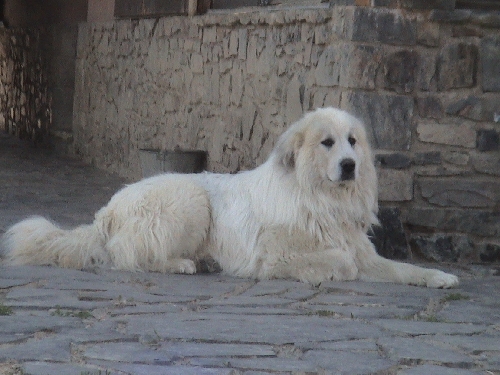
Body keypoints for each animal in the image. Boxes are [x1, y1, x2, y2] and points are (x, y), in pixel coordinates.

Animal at [1, 107, 458, 290]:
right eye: (327, 143)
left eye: (353, 141)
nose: (349, 166)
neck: (320, 200)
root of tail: (108, 210)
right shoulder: (274, 257)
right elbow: (341, 264)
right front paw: (327, 273)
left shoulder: (365, 252)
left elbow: (402, 269)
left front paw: (440, 277)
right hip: (191, 200)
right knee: (130, 257)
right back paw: (185, 264)